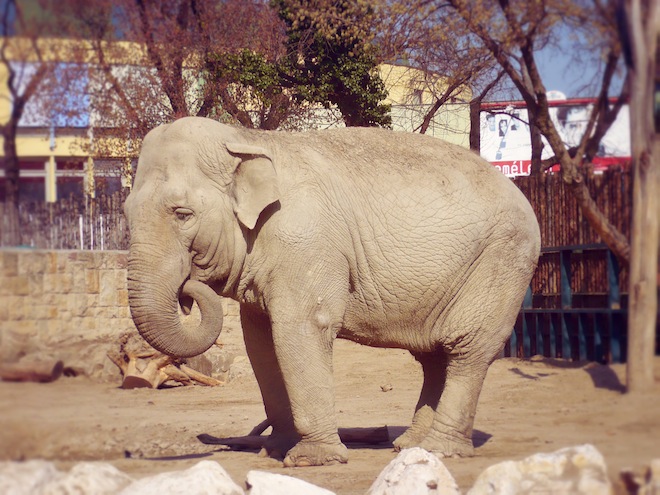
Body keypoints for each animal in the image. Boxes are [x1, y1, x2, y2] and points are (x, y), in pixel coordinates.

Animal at [124, 116, 540, 467]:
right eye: (125, 213)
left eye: (182, 214)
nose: (186, 291)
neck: (246, 138)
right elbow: (259, 340)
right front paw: (275, 450)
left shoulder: (307, 244)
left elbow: (301, 328)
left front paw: (312, 460)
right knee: (435, 357)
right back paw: (410, 445)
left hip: (502, 263)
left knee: (468, 350)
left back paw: (440, 449)